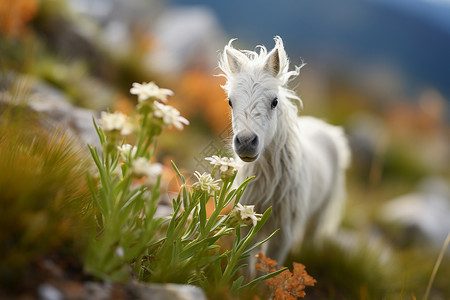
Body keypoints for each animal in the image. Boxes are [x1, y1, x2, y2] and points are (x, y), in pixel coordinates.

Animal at [218, 36, 352, 268]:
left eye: (275, 102)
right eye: (230, 101)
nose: (246, 142)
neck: (269, 184)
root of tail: (327, 129)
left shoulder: (283, 235)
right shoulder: (247, 223)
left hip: (319, 212)